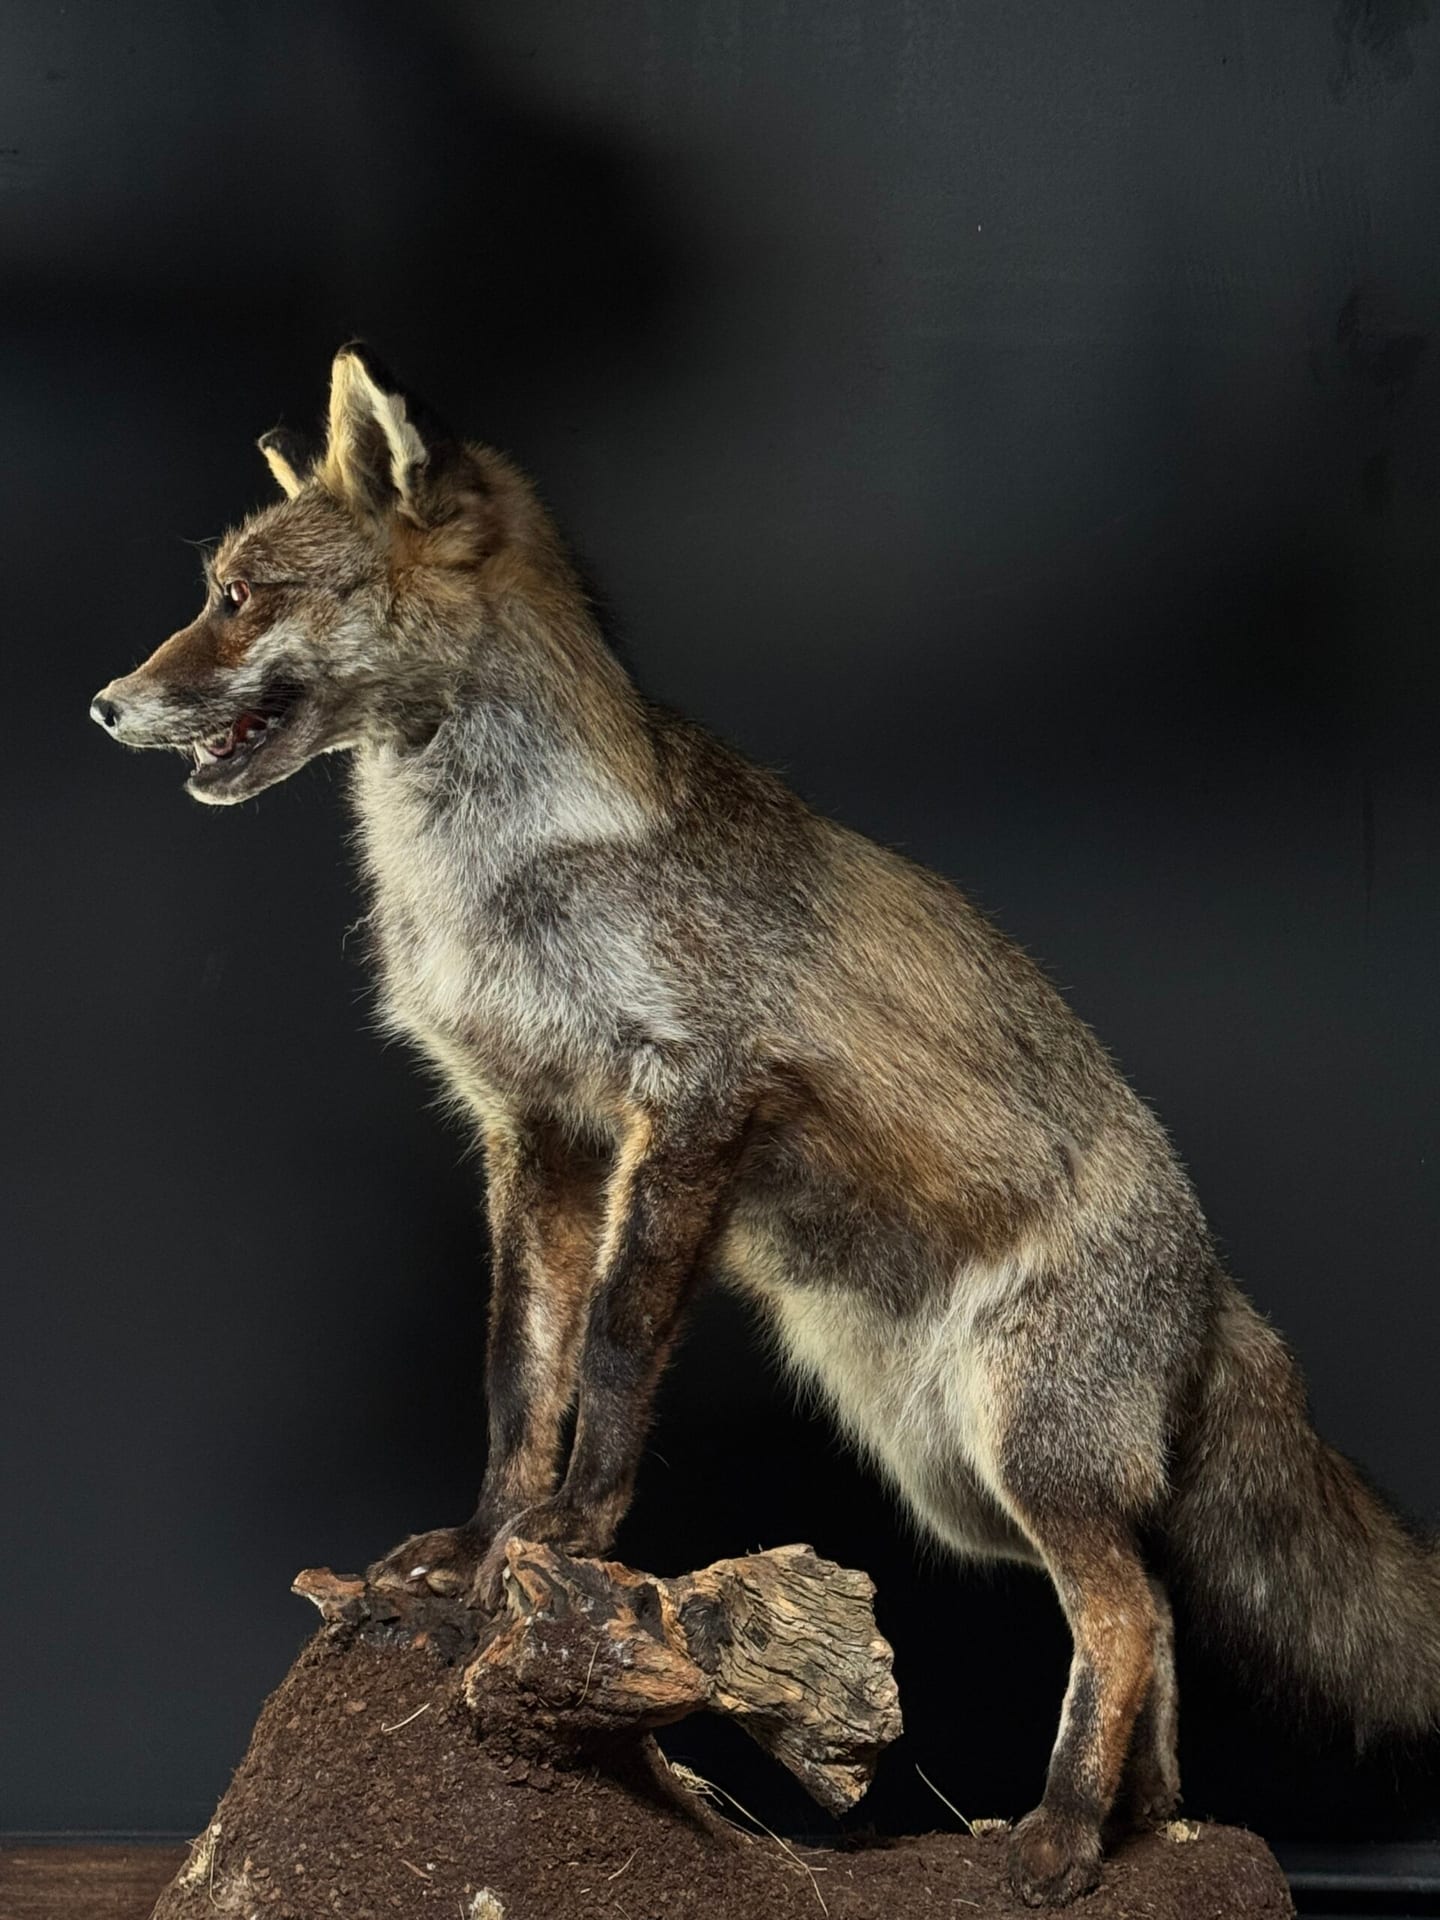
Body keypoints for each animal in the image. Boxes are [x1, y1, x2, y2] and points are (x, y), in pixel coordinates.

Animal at [92, 344, 1439, 1906]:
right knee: (1149, 1604)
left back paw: (1058, 1840)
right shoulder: (536, 1127)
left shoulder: (695, 1099)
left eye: (241, 597)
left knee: (1129, 1613)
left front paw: (573, 1531)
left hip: (1016, 1450)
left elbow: (614, 1350)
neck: (498, 875)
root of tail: (1215, 1288)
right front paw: (485, 1544)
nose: (105, 704)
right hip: (961, 1486)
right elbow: (518, 1371)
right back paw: (1146, 1831)